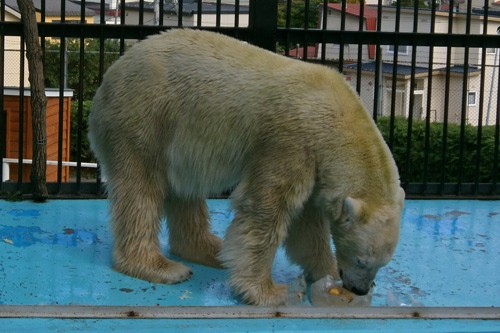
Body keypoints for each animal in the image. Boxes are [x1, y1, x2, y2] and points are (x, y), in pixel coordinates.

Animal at [88, 29, 404, 306]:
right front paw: (271, 292)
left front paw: (325, 274)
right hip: (144, 117)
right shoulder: (291, 141)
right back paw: (161, 266)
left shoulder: (315, 165)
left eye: (383, 262)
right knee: (141, 189)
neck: (337, 116)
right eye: (362, 259)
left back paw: (209, 250)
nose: (359, 288)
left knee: (185, 189)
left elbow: (306, 224)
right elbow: (264, 209)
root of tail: (111, 74)